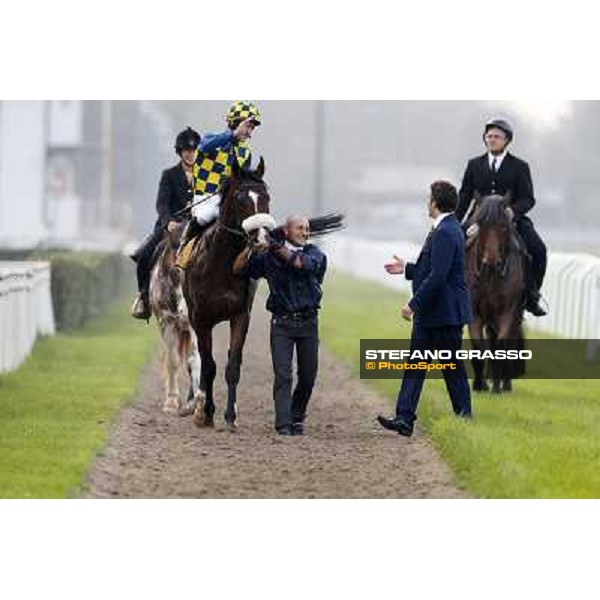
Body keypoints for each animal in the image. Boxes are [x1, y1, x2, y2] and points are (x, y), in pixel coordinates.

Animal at [183, 157, 276, 428]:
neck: (220, 264)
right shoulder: (201, 319)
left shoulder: (240, 315)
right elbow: (208, 365)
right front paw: (204, 412)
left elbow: (232, 364)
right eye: (240, 197)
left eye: (267, 196)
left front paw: (230, 415)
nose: (262, 239)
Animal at [466, 192, 528, 396]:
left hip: (514, 316)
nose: (491, 263)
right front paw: (479, 386)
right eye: (481, 224)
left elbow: (502, 346)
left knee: (508, 345)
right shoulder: (474, 312)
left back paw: (503, 384)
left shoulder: (508, 311)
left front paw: (497, 388)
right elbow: (478, 347)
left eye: (502, 225)